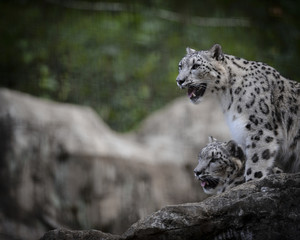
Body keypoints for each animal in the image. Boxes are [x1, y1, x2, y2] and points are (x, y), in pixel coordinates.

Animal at [177, 44, 300, 181]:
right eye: (180, 66)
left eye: (195, 66)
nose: (179, 80)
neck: (226, 98)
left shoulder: (260, 131)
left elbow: (255, 163)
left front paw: (251, 180)